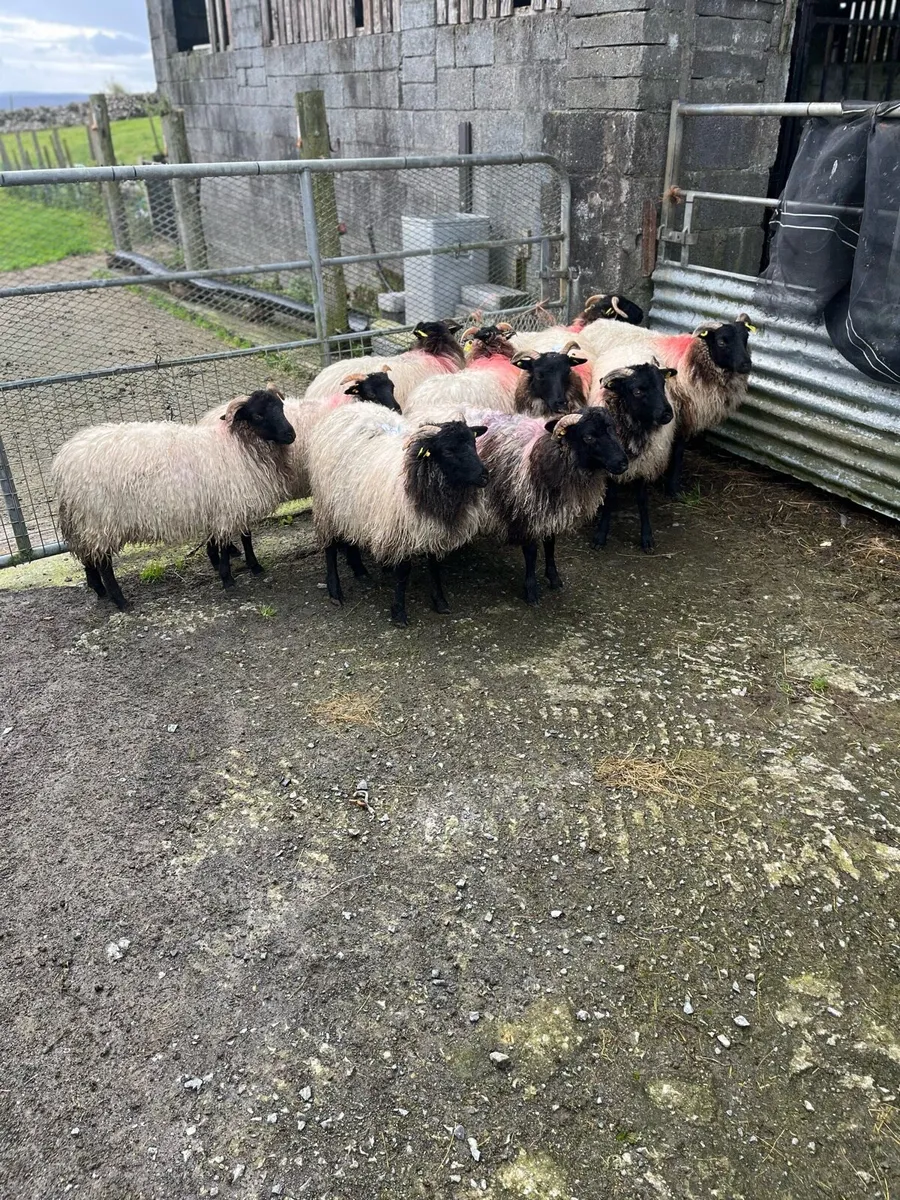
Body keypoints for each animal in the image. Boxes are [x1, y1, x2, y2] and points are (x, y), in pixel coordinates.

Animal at [52, 388, 297, 610]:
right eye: (258, 415)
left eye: (281, 407)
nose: (291, 435)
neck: (237, 444)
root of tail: (65, 461)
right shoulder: (229, 505)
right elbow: (228, 543)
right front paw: (228, 578)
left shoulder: (224, 504)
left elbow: (239, 538)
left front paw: (249, 566)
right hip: (100, 517)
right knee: (104, 563)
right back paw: (120, 601)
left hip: (84, 520)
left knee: (88, 554)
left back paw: (99, 589)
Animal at [307, 404, 488, 626]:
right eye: (448, 450)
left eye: (474, 443)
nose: (484, 475)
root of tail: (347, 408)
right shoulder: (400, 532)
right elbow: (403, 572)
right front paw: (399, 612)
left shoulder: (431, 527)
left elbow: (434, 566)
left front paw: (440, 601)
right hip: (326, 507)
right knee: (330, 548)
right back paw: (335, 591)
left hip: (350, 506)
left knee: (351, 537)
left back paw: (360, 571)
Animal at [464, 405, 628, 605]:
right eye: (589, 437)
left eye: (613, 430)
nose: (623, 463)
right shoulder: (525, 511)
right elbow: (531, 552)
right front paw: (531, 590)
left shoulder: (549, 511)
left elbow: (550, 545)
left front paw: (554, 577)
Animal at [574, 313, 754, 496]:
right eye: (722, 341)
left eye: (745, 338)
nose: (746, 364)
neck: (688, 360)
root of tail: (596, 323)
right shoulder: (679, 417)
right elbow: (678, 451)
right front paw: (673, 487)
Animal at [587, 359, 677, 553]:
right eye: (637, 391)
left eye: (663, 384)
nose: (667, 414)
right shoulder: (612, 464)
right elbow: (610, 497)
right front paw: (600, 535)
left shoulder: (645, 463)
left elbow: (642, 500)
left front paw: (647, 538)